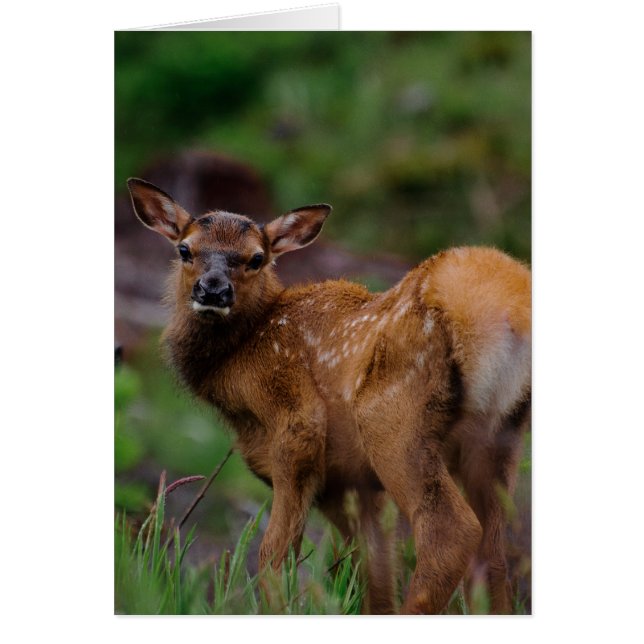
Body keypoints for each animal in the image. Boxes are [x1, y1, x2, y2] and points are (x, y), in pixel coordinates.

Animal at [127, 178, 531, 614]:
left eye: (256, 258)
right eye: (185, 249)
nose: (213, 290)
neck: (238, 362)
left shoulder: (296, 422)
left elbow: (274, 555)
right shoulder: (350, 483)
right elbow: (375, 572)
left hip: (392, 419)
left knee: (451, 532)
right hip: (499, 436)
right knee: (494, 555)